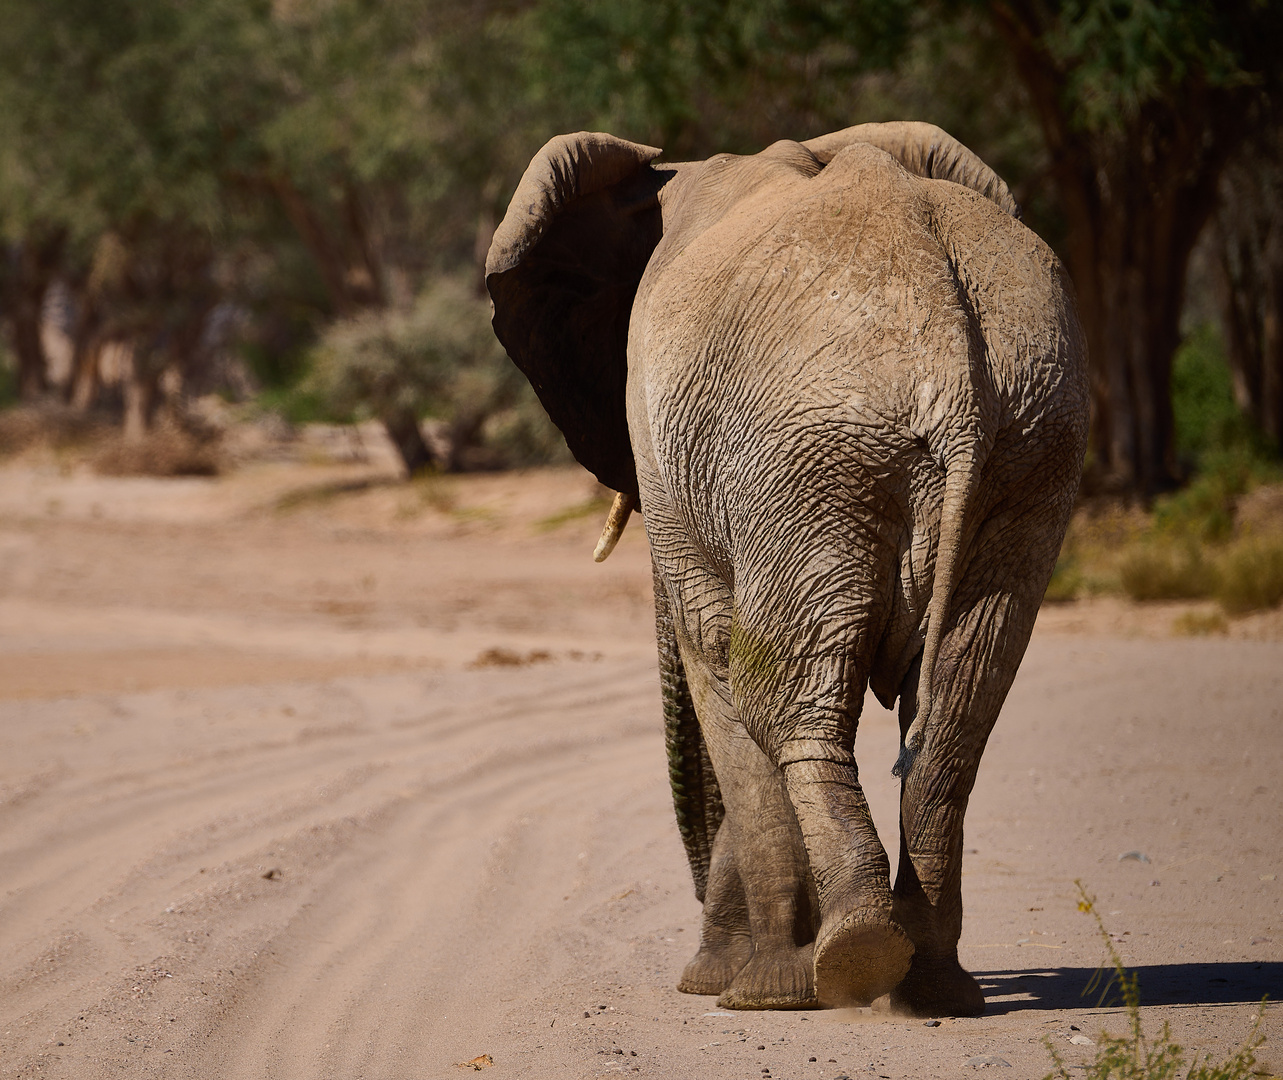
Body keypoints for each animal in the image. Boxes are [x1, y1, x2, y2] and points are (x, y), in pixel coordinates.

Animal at [484, 121, 1087, 1015]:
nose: (698, 973)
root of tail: (951, 360)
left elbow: (713, 665)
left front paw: (747, 989)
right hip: (1025, 446)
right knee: (957, 707)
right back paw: (930, 990)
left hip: (806, 460)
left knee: (779, 696)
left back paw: (846, 963)